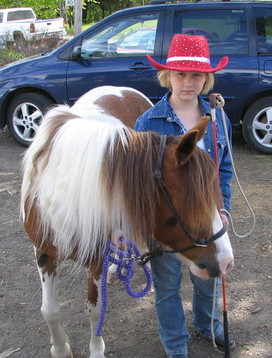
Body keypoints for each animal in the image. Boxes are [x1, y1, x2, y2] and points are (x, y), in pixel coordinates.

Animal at [20, 85, 234, 356]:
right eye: (192, 200)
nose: (226, 262)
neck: (66, 190)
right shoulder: (44, 252)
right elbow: (49, 311)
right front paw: (60, 349)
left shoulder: (96, 259)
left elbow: (95, 311)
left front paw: (96, 350)